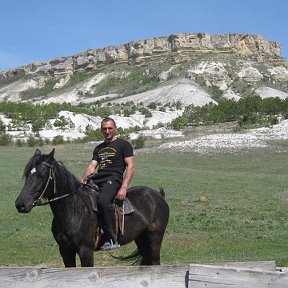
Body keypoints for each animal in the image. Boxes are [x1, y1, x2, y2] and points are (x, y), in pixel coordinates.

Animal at [15, 150, 169, 266]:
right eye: (27, 174)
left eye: (42, 176)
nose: (20, 204)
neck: (74, 211)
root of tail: (158, 195)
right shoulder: (65, 251)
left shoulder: (86, 251)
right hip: (141, 238)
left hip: (155, 238)